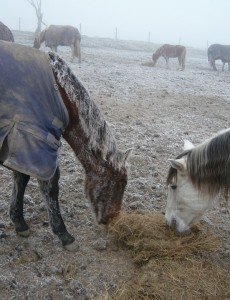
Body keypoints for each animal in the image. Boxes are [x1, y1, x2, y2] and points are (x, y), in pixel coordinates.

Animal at [0, 39, 131, 251]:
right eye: (120, 182)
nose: (112, 220)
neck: (61, 92)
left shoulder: (23, 145)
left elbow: (21, 179)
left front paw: (19, 223)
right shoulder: (35, 142)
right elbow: (49, 187)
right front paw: (64, 235)